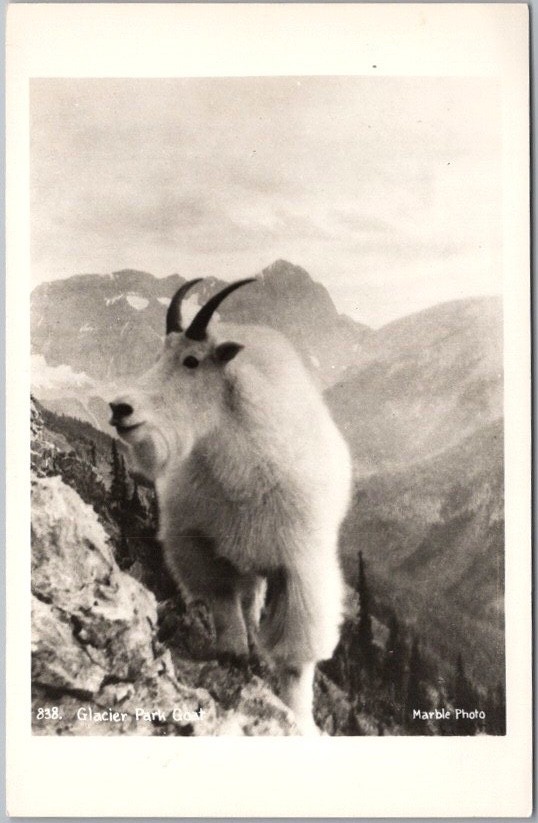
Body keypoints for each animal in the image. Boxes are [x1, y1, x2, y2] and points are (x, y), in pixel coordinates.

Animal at [109, 278, 352, 734]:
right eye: (158, 355)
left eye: (191, 360)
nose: (120, 408)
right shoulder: (198, 543)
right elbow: (223, 601)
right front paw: (234, 654)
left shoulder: (299, 565)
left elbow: (296, 659)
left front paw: (298, 715)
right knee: (247, 597)